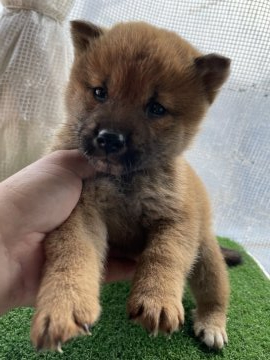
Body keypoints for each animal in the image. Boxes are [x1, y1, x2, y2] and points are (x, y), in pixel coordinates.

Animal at [31, 19, 238, 352]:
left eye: (156, 108)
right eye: (100, 92)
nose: (109, 138)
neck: (124, 182)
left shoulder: (176, 219)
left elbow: (165, 256)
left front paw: (158, 300)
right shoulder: (78, 211)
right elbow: (73, 254)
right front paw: (64, 305)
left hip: (206, 254)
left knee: (215, 294)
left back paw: (212, 324)